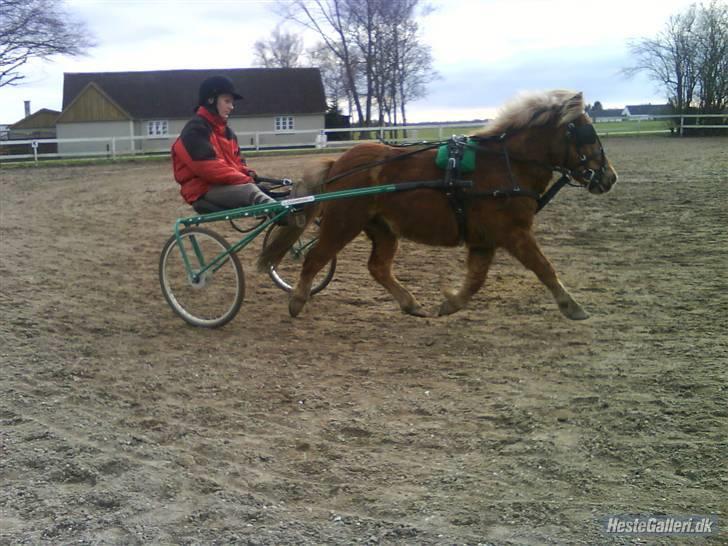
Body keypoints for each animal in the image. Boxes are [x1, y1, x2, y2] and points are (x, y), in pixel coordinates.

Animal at [258, 90, 616, 318]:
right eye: (588, 133)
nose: (609, 176)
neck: (504, 164)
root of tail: (339, 162)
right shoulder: (514, 233)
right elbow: (544, 267)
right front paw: (572, 306)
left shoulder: (484, 239)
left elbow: (476, 279)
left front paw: (451, 303)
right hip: (343, 223)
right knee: (315, 258)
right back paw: (297, 301)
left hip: (383, 229)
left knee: (378, 267)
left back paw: (410, 303)